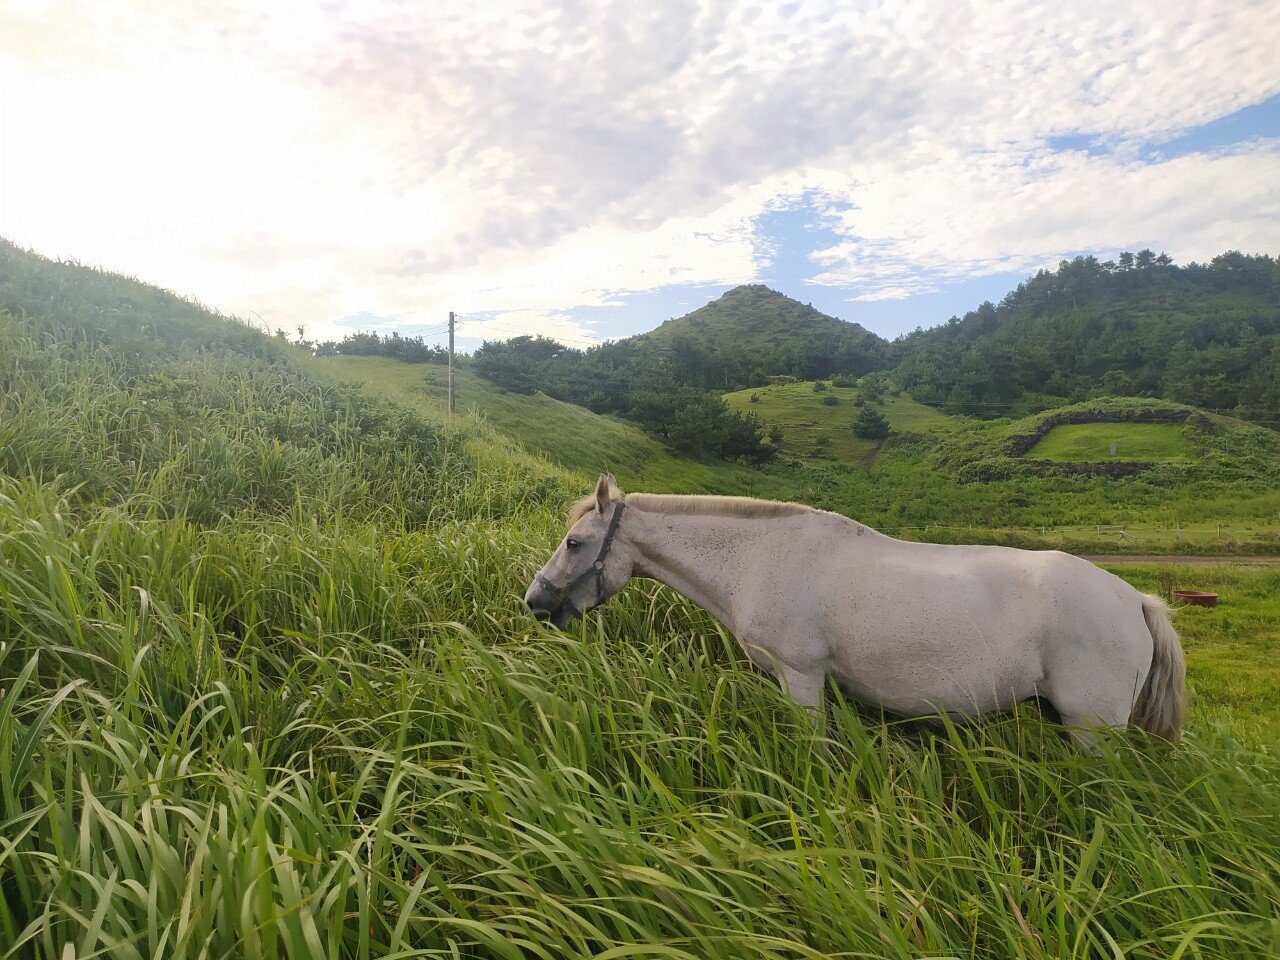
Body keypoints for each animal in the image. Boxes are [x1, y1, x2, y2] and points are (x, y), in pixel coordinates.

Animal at [524, 478, 1182, 747]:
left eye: (575, 543)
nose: (535, 602)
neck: (759, 557)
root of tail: (1136, 600)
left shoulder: (802, 678)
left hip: (1092, 727)